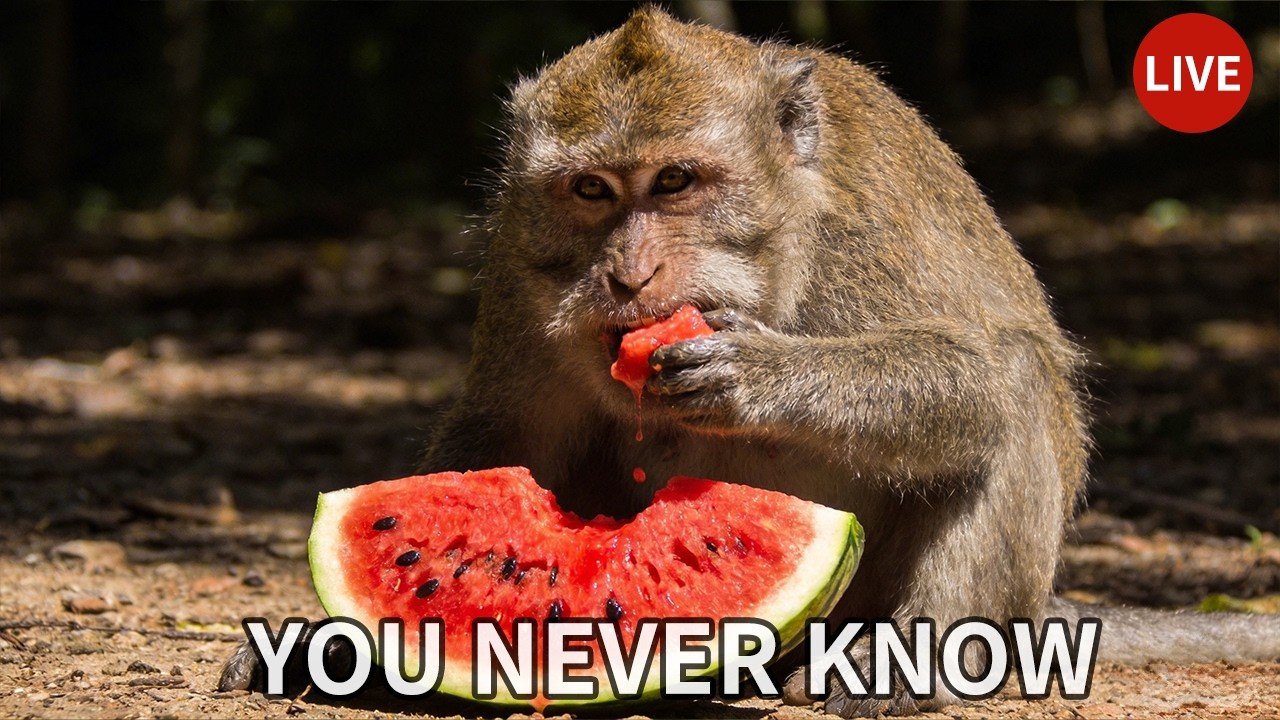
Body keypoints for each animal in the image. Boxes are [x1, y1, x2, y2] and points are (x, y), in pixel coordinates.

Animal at [221, 8, 1280, 716]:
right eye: (592, 190)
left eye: (677, 181)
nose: (629, 274)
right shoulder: (524, 264)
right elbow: (506, 434)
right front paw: (328, 640)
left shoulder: (863, 220)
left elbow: (981, 372)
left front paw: (756, 378)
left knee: (1013, 385)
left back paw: (916, 663)